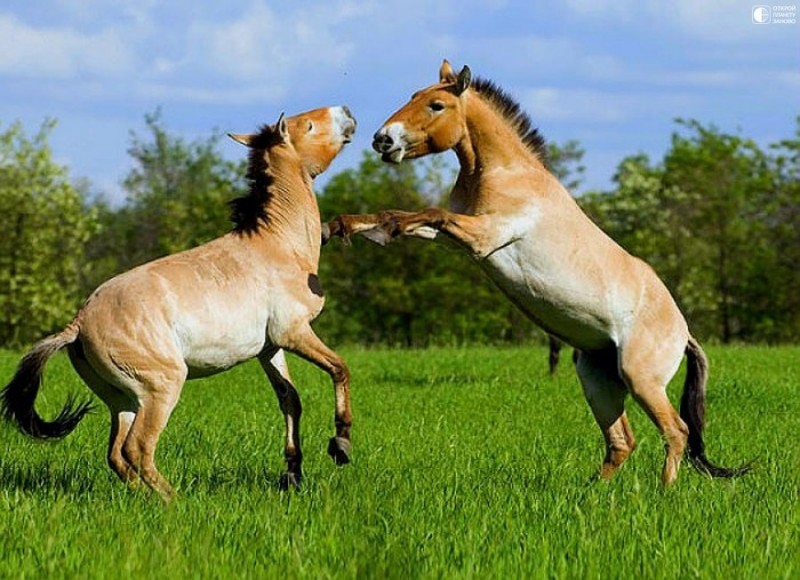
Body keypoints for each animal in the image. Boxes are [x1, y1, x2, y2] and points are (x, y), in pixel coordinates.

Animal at [0, 106, 356, 500]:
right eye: (308, 125)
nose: (347, 113)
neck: (278, 245)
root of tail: (78, 323)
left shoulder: (270, 348)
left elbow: (290, 400)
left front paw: (293, 475)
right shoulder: (293, 332)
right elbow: (339, 368)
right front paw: (341, 444)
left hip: (123, 400)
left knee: (116, 454)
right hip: (162, 387)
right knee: (137, 448)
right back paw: (173, 501)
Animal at [330, 61, 752, 484]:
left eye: (436, 105)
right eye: (414, 96)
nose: (383, 140)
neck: (504, 173)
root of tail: (684, 334)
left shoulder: (485, 235)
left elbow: (427, 213)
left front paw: (380, 229)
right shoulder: (457, 239)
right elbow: (406, 215)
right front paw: (345, 226)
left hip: (641, 379)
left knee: (676, 432)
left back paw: (664, 491)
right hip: (598, 378)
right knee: (622, 442)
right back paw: (592, 491)